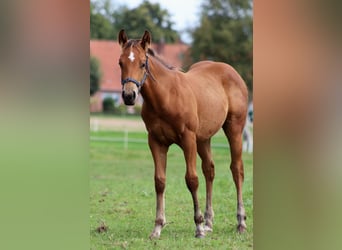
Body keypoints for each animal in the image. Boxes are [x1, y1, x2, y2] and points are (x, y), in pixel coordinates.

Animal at [118, 29, 248, 238]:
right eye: (120, 62)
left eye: (142, 63)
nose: (129, 96)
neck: (166, 96)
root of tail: (231, 71)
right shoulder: (156, 141)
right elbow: (160, 181)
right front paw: (158, 227)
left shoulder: (188, 139)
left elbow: (191, 180)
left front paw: (198, 227)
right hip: (203, 139)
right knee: (209, 170)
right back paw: (209, 222)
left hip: (234, 128)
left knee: (237, 170)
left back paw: (240, 222)